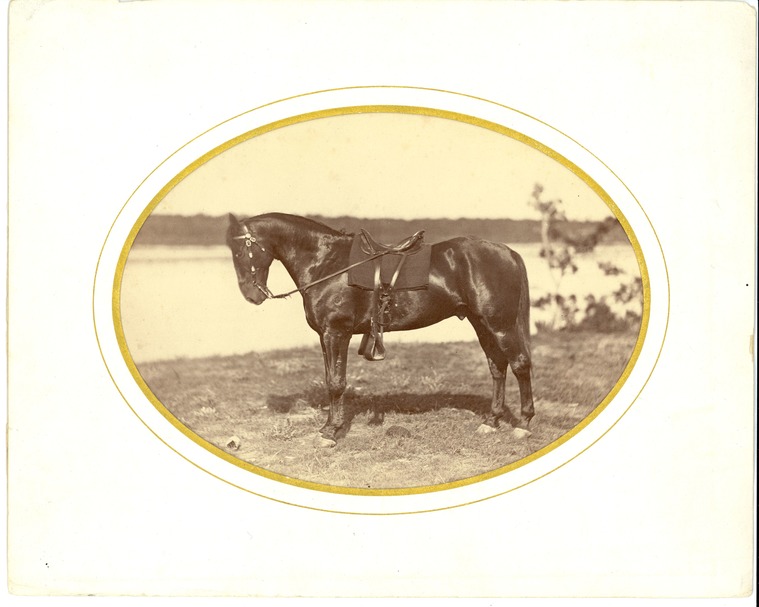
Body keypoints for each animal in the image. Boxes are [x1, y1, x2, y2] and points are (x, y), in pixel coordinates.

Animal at [225, 212, 534, 447]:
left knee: (520, 364)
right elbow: (329, 380)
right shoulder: (325, 336)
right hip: (481, 324)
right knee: (497, 367)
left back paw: (524, 425)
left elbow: (336, 383)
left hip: (501, 325)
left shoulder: (337, 333)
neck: (328, 262)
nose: (251, 296)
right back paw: (491, 421)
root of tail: (508, 252)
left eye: (242, 250)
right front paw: (328, 427)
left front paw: (331, 433)